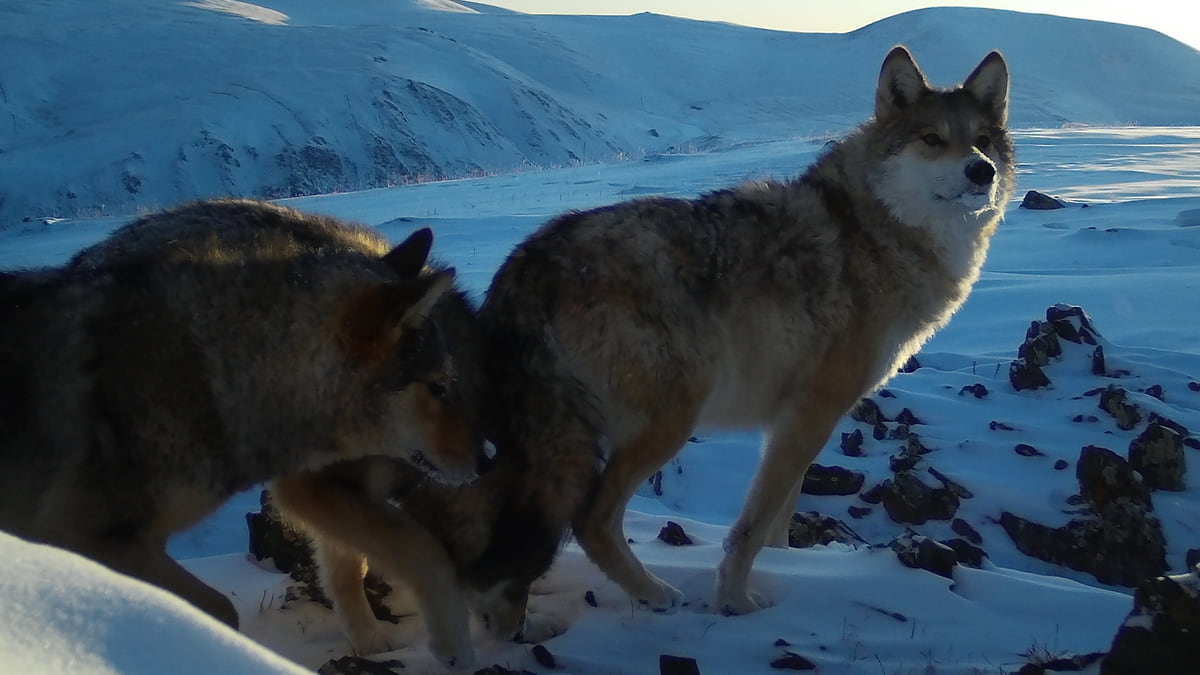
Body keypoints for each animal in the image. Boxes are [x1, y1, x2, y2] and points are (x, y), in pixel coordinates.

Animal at [274, 43, 1012, 667]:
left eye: (980, 141)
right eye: (933, 140)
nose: (982, 172)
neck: (877, 232)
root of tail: (526, 266)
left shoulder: (797, 422)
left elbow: (779, 518)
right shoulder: (811, 414)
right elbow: (749, 527)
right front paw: (736, 603)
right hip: (666, 422)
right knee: (589, 520)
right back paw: (641, 600)